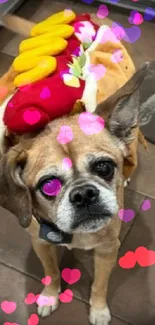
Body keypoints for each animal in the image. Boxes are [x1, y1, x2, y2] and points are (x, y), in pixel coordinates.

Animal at [0, 11, 153, 322]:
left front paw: (98, 310)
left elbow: (99, 285)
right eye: (48, 186)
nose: (83, 194)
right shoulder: (41, 243)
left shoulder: (108, 250)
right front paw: (50, 295)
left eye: (105, 168)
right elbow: (50, 272)